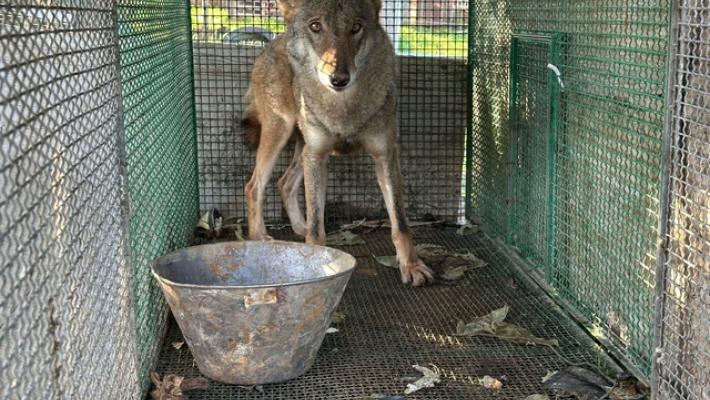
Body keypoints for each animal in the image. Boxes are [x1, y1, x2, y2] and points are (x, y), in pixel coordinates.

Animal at [241, 0, 433, 286]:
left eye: (355, 27)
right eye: (315, 26)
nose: (339, 78)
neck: (344, 108)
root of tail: (275, 40)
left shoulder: (385, 155)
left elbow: (400, 224)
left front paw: (412, 266)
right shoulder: (317, 155)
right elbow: (317, 228)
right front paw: (313, 265)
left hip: (302, 149)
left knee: (284, 183)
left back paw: (298, 229)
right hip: (281, 132)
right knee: (254, 186)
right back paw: (260, 237)